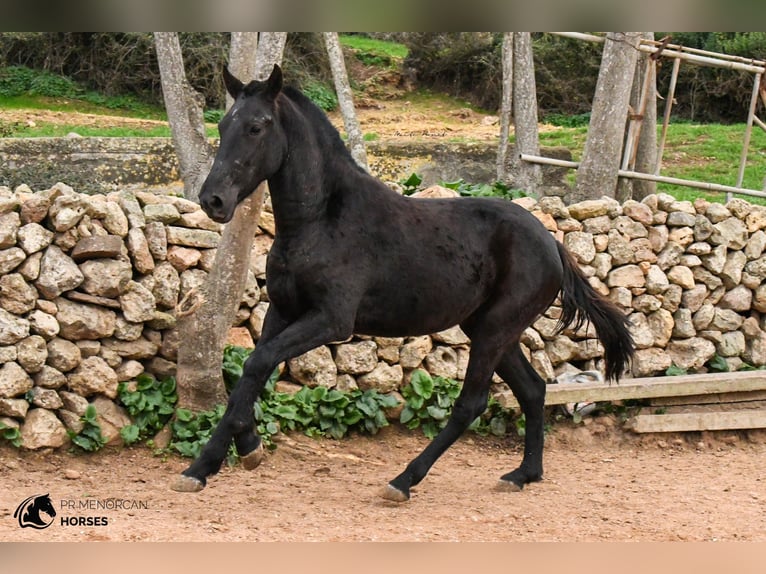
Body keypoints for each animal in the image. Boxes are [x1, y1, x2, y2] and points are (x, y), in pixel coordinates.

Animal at [174, 65, 636, 502]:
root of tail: (551, 242)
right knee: (533, 389)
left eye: (257, 126)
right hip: (491, 330)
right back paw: (523, 474)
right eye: (222, 126)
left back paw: (403, 481)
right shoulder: (283, 310)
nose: (213, 200)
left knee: (472, 403)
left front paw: (216, 460)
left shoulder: (331, 320)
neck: (322, 218)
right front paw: (226, 456)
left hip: (495, 330)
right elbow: (253, 368)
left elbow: (258, 362)